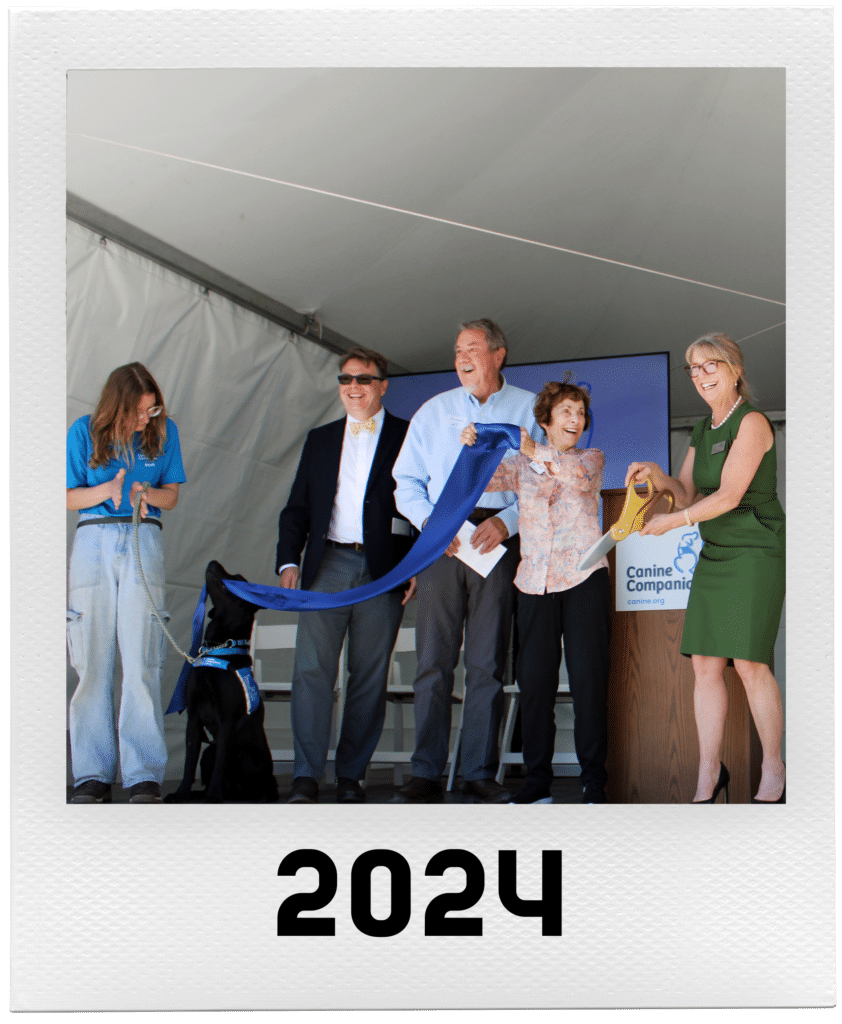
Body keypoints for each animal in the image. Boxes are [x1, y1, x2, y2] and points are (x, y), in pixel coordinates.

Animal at [165, 561, 280, 798]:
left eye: (237, 578)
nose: (213, 562)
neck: (219, 649)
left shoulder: (226, 719)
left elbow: (221, 761)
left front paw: (213, 797)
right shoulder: (194, 718)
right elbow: (189, 762)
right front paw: (181, 793)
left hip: (247, 755)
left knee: (260, 787)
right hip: (208, 750)